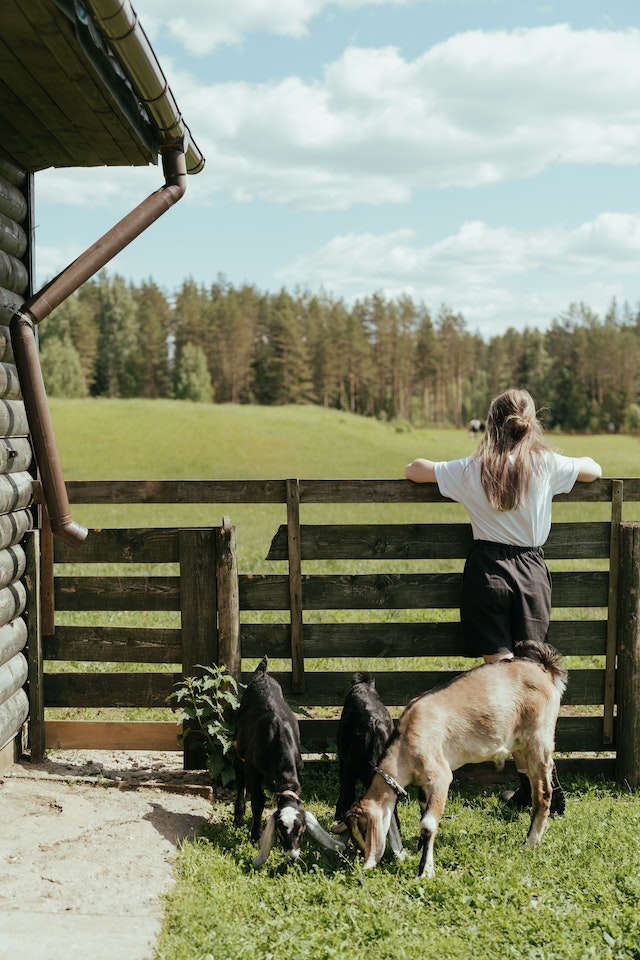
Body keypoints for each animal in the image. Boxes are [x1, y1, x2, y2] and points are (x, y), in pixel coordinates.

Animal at [235, 656, 344, 868]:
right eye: (280, 832)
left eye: (301, 833)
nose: (293, 855)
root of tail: (262, 673)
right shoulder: (252, 768)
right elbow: (258, 800)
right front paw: (256, 836)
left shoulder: (298, 765)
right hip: (237, 749)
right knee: (239, 780)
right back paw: (238, 816)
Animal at [348, 640, 568, 880]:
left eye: (363, 828)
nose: (362, 860)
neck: (405, 745)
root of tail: (546, 669)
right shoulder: (425, 784)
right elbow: (423, 809)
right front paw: (420, 850)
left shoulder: (441, 776)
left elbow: (427, 824)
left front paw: (425, 871)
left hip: (538, 738)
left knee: (543, 793)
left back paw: (530, 843)